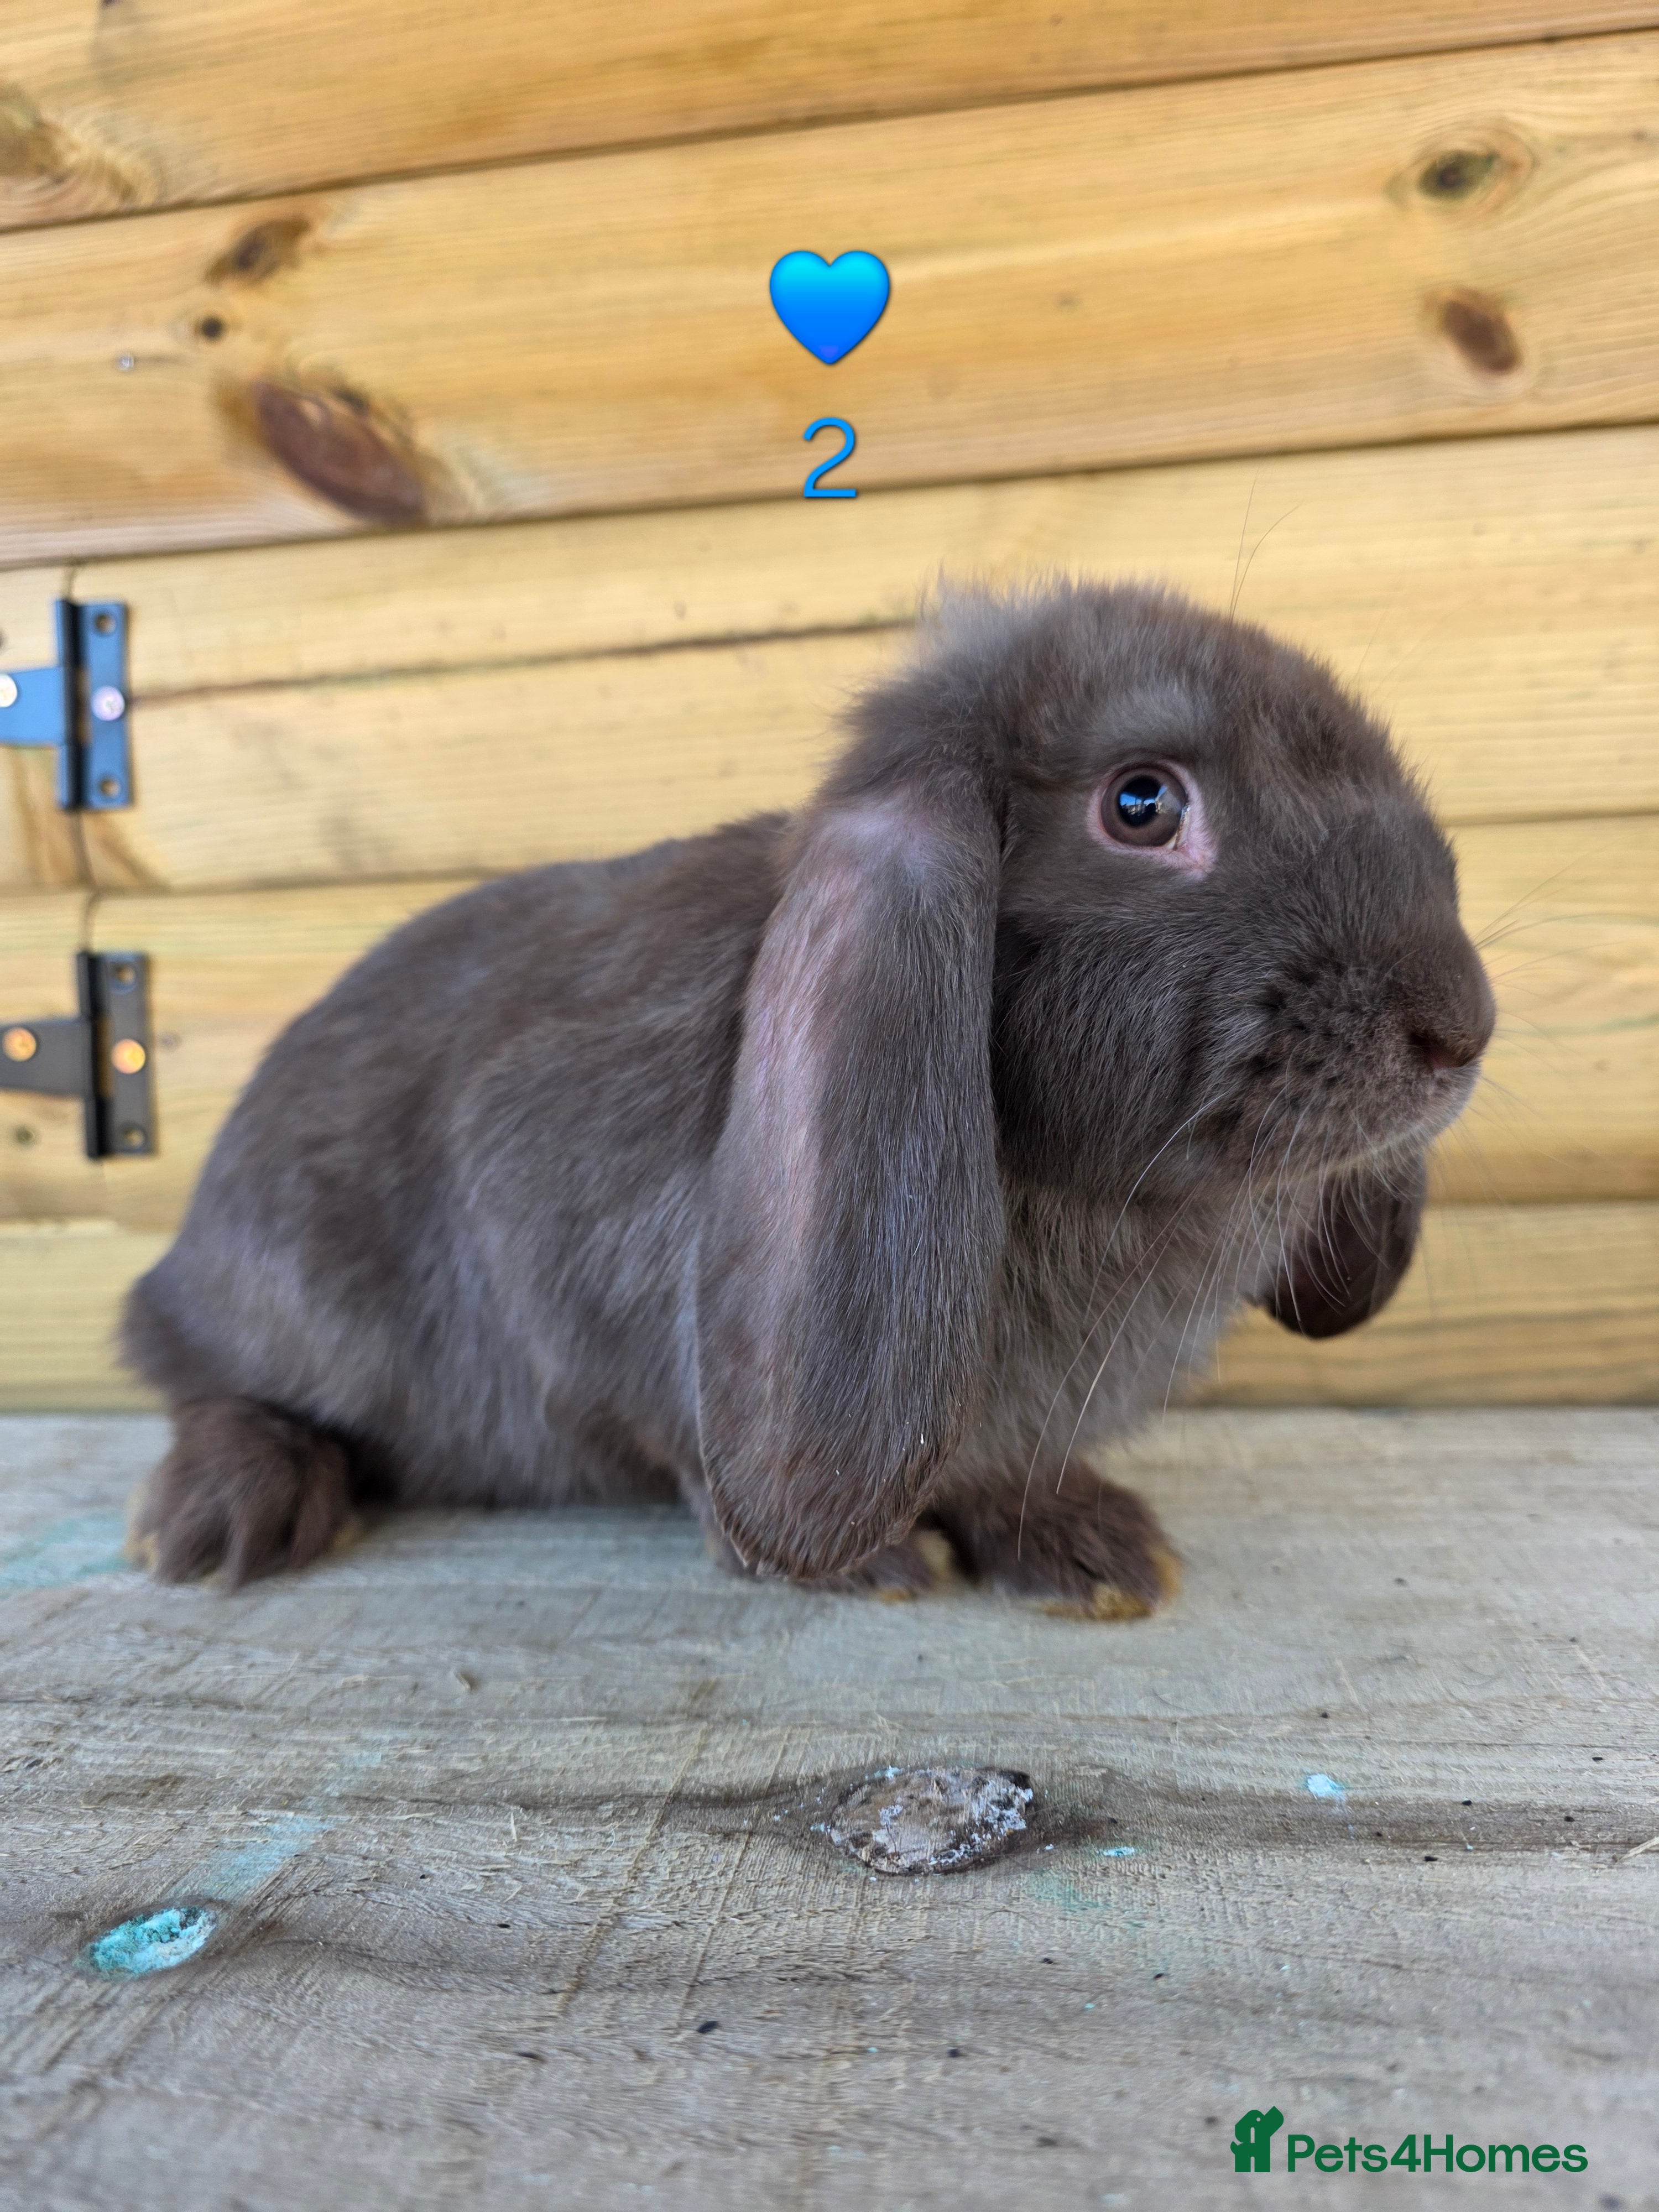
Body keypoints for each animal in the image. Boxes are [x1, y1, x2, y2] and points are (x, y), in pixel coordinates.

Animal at [125, 579, 1494, 1615]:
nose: (1462, 1026)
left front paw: (1089, 1547)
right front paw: (864, 1563)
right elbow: (681, 1441)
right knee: (206, 1378)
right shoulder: (559, 1254)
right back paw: (225, 1514)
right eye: (1142, 802)